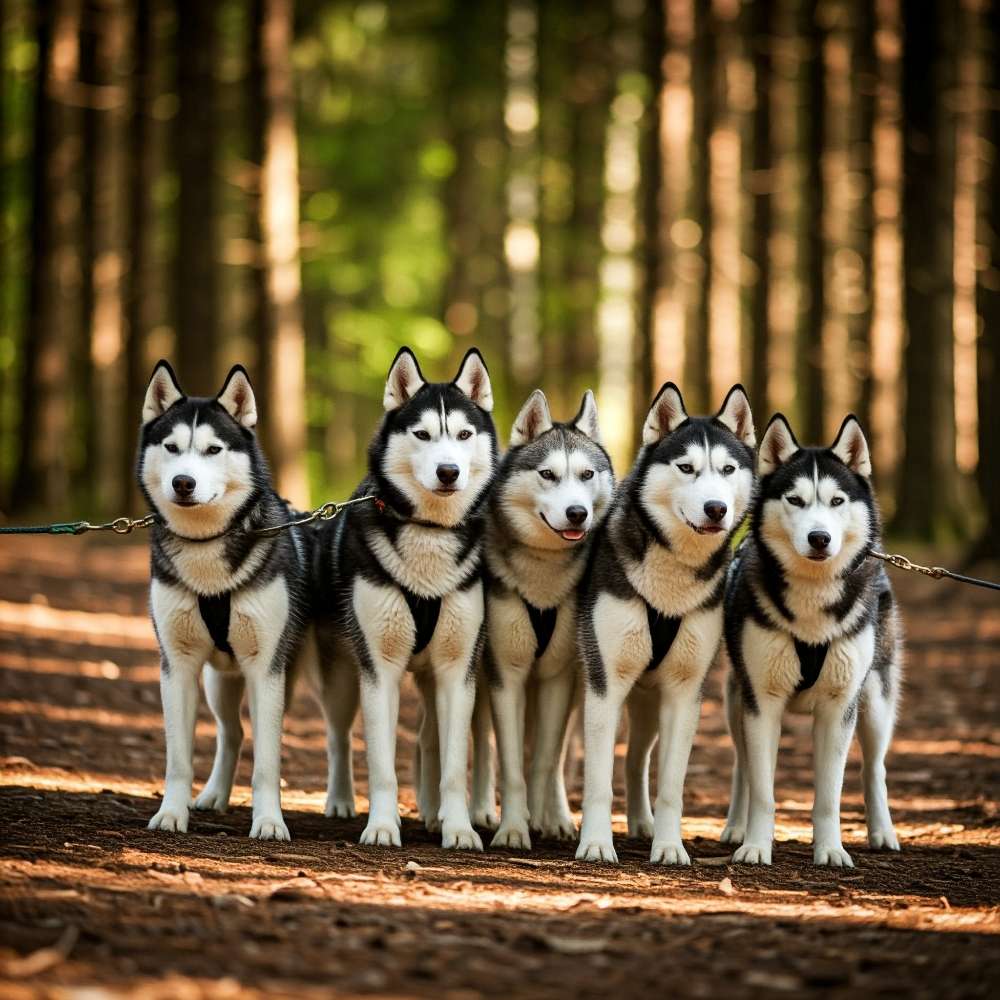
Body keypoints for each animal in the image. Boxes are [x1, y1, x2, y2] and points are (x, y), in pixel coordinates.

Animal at [137, 360, 308, 836]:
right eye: (172, 448)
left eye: (213, 450)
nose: (183, 482)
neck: (206, 546)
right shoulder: (176, 665)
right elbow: (178, 758)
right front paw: (171, 813)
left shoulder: (266, 668)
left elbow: (267, 762)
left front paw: (268, 821)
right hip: (219, 680)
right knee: (233, 733)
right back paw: (214, 795)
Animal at [312, 348, 496, 848]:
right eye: (422, 434)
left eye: (464, 434)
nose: (449, 471)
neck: (428, 531)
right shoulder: (380, 669)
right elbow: (381, 763)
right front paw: (381, 826)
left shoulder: (457, 671)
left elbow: (453, 764)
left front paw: (458, 828)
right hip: (341, 676)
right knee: (338, 736)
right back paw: (341, 801)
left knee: (428, 739)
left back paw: (433, 814)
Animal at [486, 386, 616, 848]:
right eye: (547, 475)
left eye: (587, 475)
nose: (578, 512)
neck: (541, 576)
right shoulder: (505, 675)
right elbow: (510, 765)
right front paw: (512, 828)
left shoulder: (558, 676)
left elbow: (544, 759)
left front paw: (547, 820)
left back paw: (552, 815)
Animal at [576, 378, 752, 864]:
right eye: (687, 468)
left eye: (727, 469)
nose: (716, 508)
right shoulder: (605, 685)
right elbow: (597, 780)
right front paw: (596, 843)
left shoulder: (683, 692)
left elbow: (671, 784)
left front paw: (669, 846)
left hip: (648, 699)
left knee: (635, 760)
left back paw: (641, 823)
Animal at [724, 414, 904, 868]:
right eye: (795, 500)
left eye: (837, 501)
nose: (819, 537)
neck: (812, 599)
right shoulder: (762, 702)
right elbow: (764, 790)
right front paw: (756, 845)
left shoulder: (839, 707)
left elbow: (829, 795)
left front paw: (830, 850)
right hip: (736, 699)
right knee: (743, 764)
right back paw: (735, 827)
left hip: (875, 698)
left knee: (874, 767)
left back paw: (883, 832)